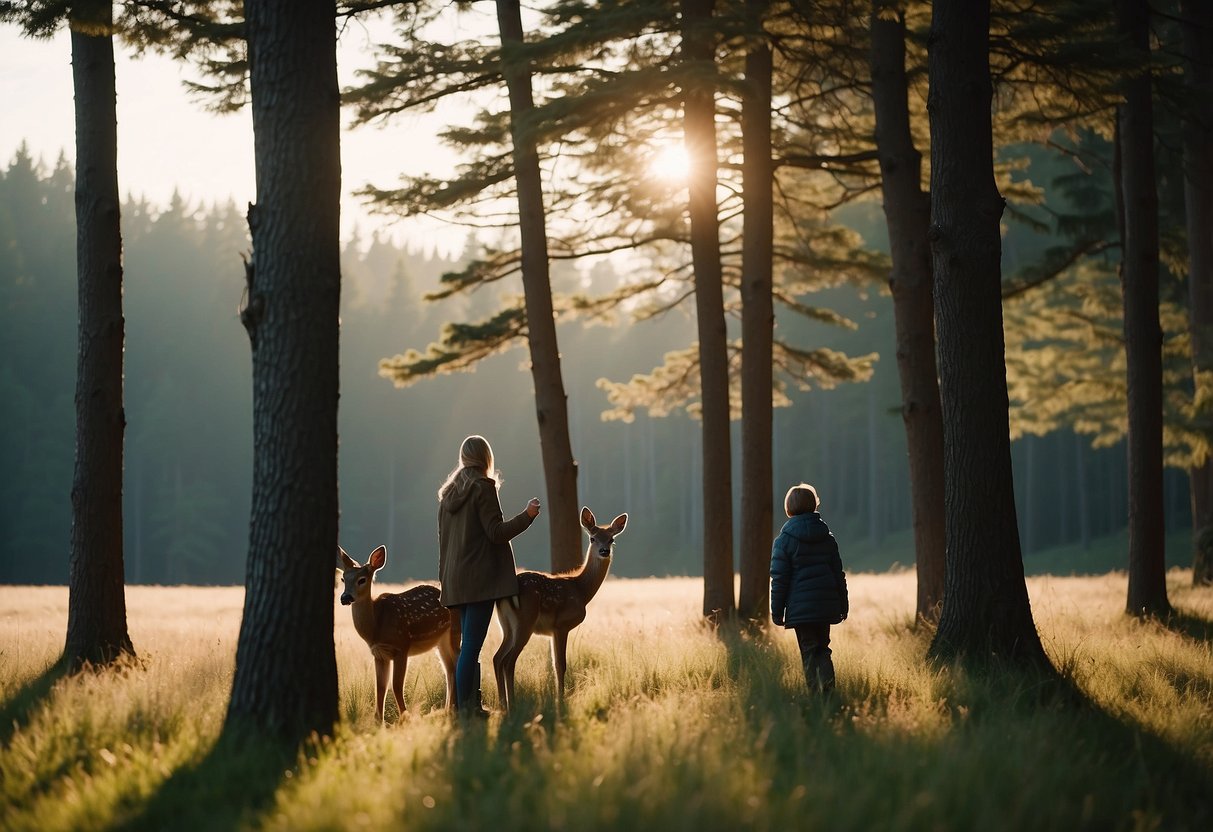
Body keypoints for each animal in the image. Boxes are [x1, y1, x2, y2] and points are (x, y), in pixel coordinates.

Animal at [337, 548, 458, 722]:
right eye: (343, 578)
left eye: (362, 579)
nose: (345, 597)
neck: (376, 627)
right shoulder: (379, 654)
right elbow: (380, 687)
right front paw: (378, 721)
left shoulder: (402, 646)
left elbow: (396, 685)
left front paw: (405, 718)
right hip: (440, 641)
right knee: (449, 669)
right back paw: (447, 710)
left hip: (454, 630)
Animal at [492, 509, 630, 708]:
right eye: (592, 538)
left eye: (611, 539)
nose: (604, 551)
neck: (581, 590)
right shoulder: (561, 625)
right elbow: (560, 665)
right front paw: (561, 700)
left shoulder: (552, 630)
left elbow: (555, 664)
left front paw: (559, 697)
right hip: (525, 620)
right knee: (509, 661)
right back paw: (512, 704)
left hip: (506, 624)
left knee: (498, 658)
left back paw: (503, 704)